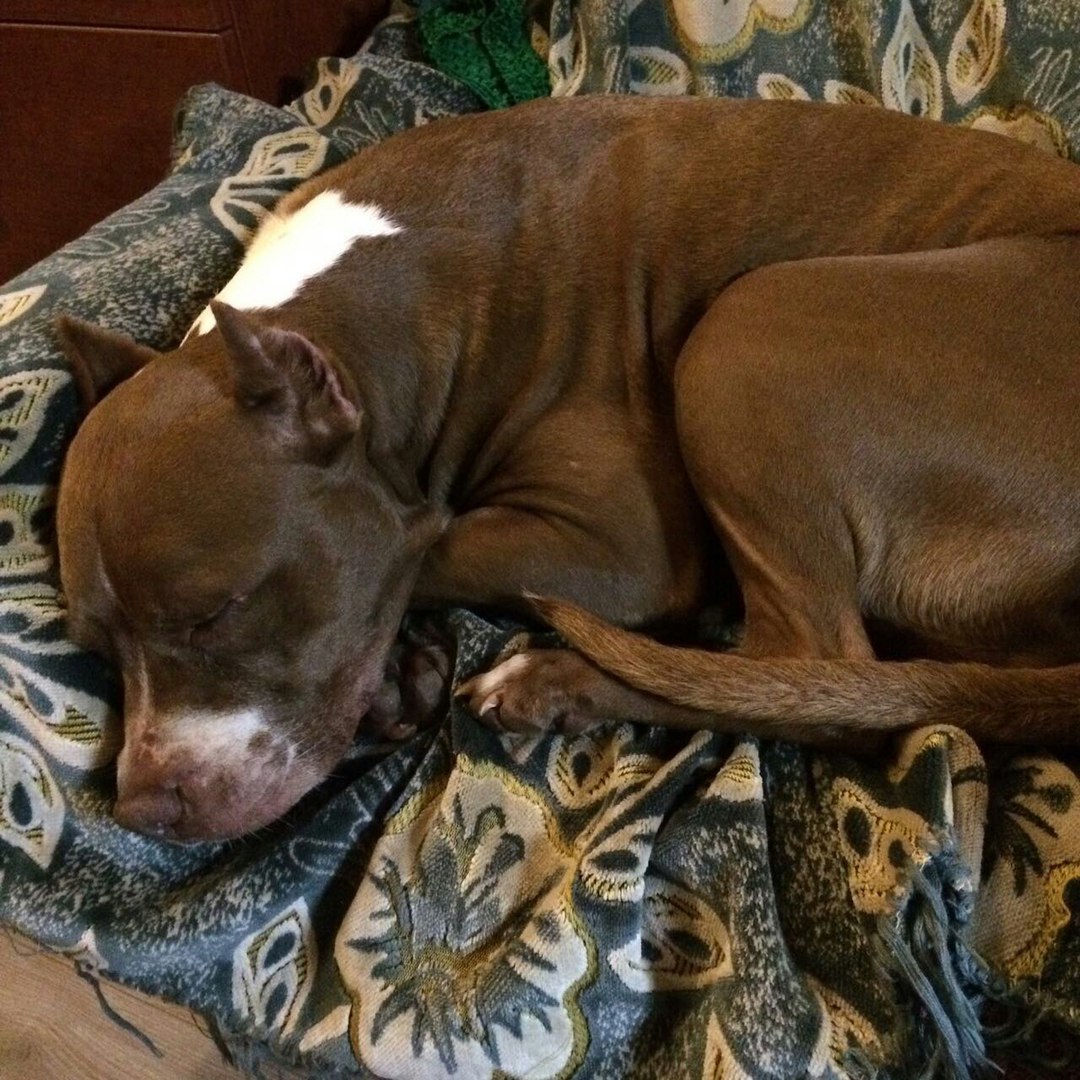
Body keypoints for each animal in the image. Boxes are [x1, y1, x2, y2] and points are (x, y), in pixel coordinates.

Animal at [54, 96, 1080, 841]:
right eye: (96, 649)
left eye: (216, 613)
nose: (144, 810)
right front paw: (398, 676)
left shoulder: (617, 549)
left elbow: (423, 551)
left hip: (748, 327)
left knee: (814, 668)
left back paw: (556, 680)